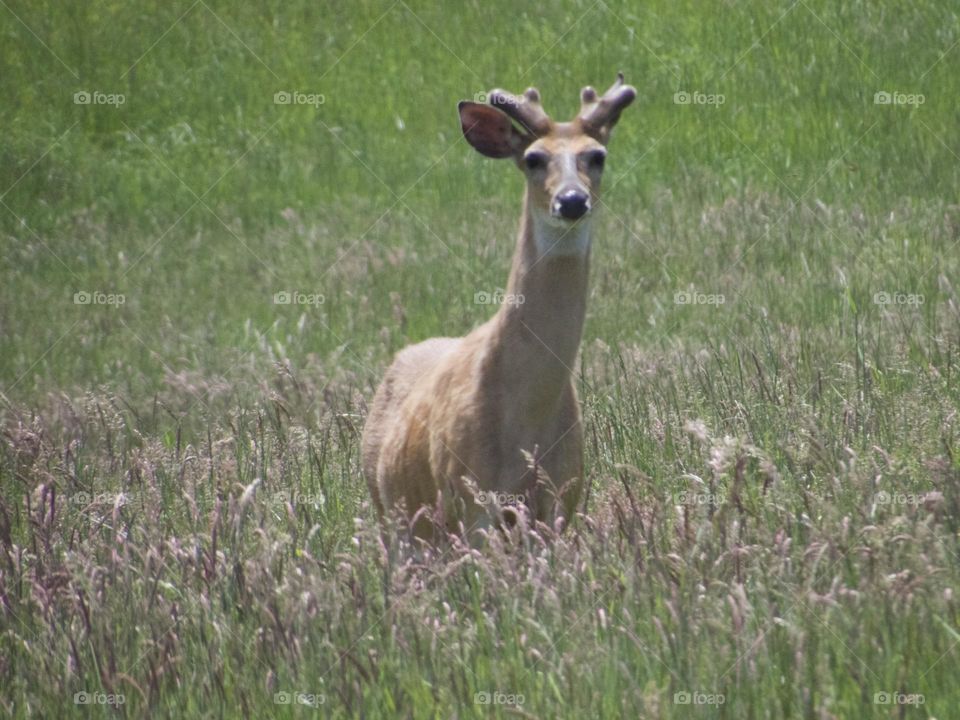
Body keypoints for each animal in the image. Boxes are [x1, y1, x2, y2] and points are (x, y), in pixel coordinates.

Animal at [362, 76, 636, 544]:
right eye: (533, 159)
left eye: (596, 155)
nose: (572, 200)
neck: (527, 414)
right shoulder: (471, 496)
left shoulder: (561, 497)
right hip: (392, 514)